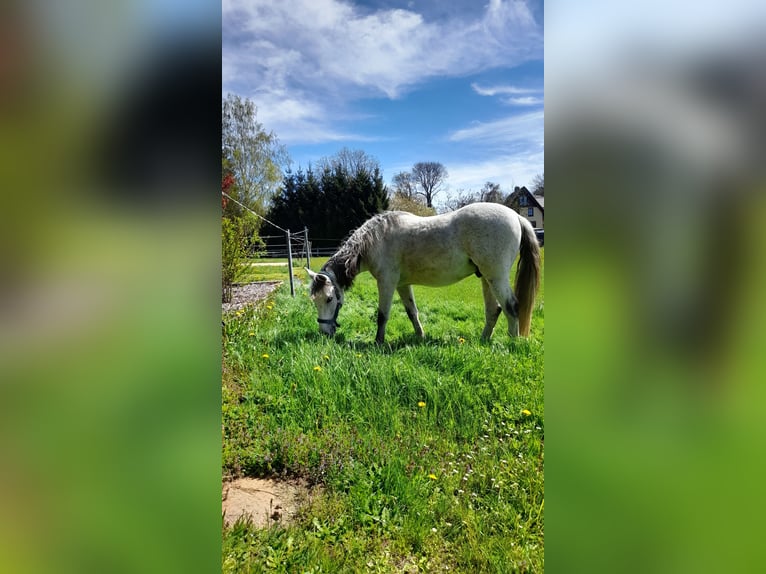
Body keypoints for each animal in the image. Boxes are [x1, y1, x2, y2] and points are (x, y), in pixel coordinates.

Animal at [306, 202, 541, 344]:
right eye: (314, 301)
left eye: (329, 299)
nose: (324, 333)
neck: (374, 240)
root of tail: (516, 216)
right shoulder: (402, 285)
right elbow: (412, 312)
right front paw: (420, 337)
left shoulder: (386, 283)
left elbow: (382, 315)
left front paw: (378, 342)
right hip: (486, 278)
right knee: (494, 310)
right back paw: (483, 341)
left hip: (496, 277)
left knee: (511, 307)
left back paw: (512, 342)